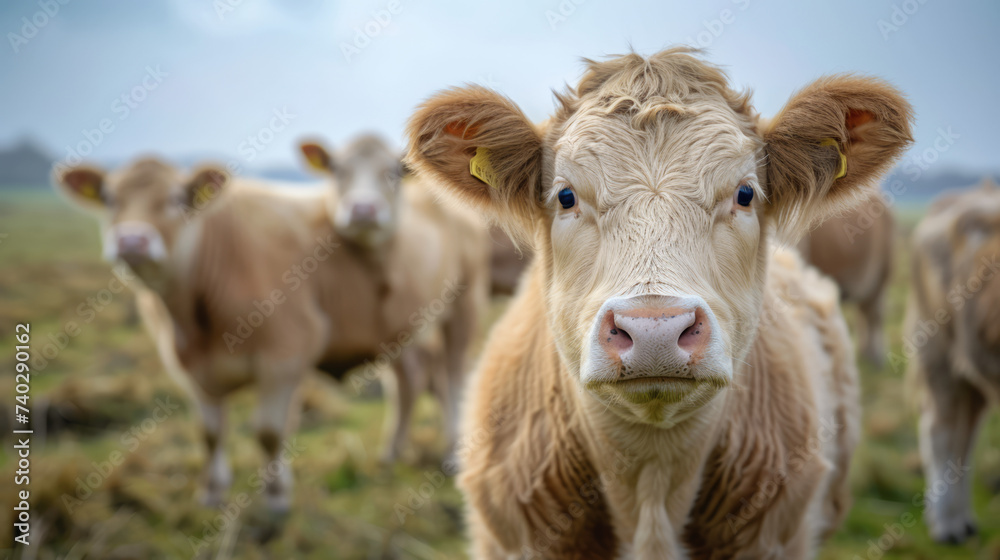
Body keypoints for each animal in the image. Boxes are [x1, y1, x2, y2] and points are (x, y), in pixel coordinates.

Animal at [53, 154, 488, 512]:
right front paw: (210, 493)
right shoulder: (191, 370)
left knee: (453, 377)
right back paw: (390, 455)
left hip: (463, 304)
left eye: (177, 199)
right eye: (109, 199)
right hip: (398, 328)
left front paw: (277, 499)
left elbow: (268, 431)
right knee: (409, 382)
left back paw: (452, 455)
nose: (132, 241)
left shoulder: (285, 357)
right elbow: (210, 433)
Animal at [906, 179, 1000, 544]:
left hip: (971, 375)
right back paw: (946, 525)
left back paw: (960, 519)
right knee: (940, 432)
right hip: (938, 354)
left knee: (964, 437)